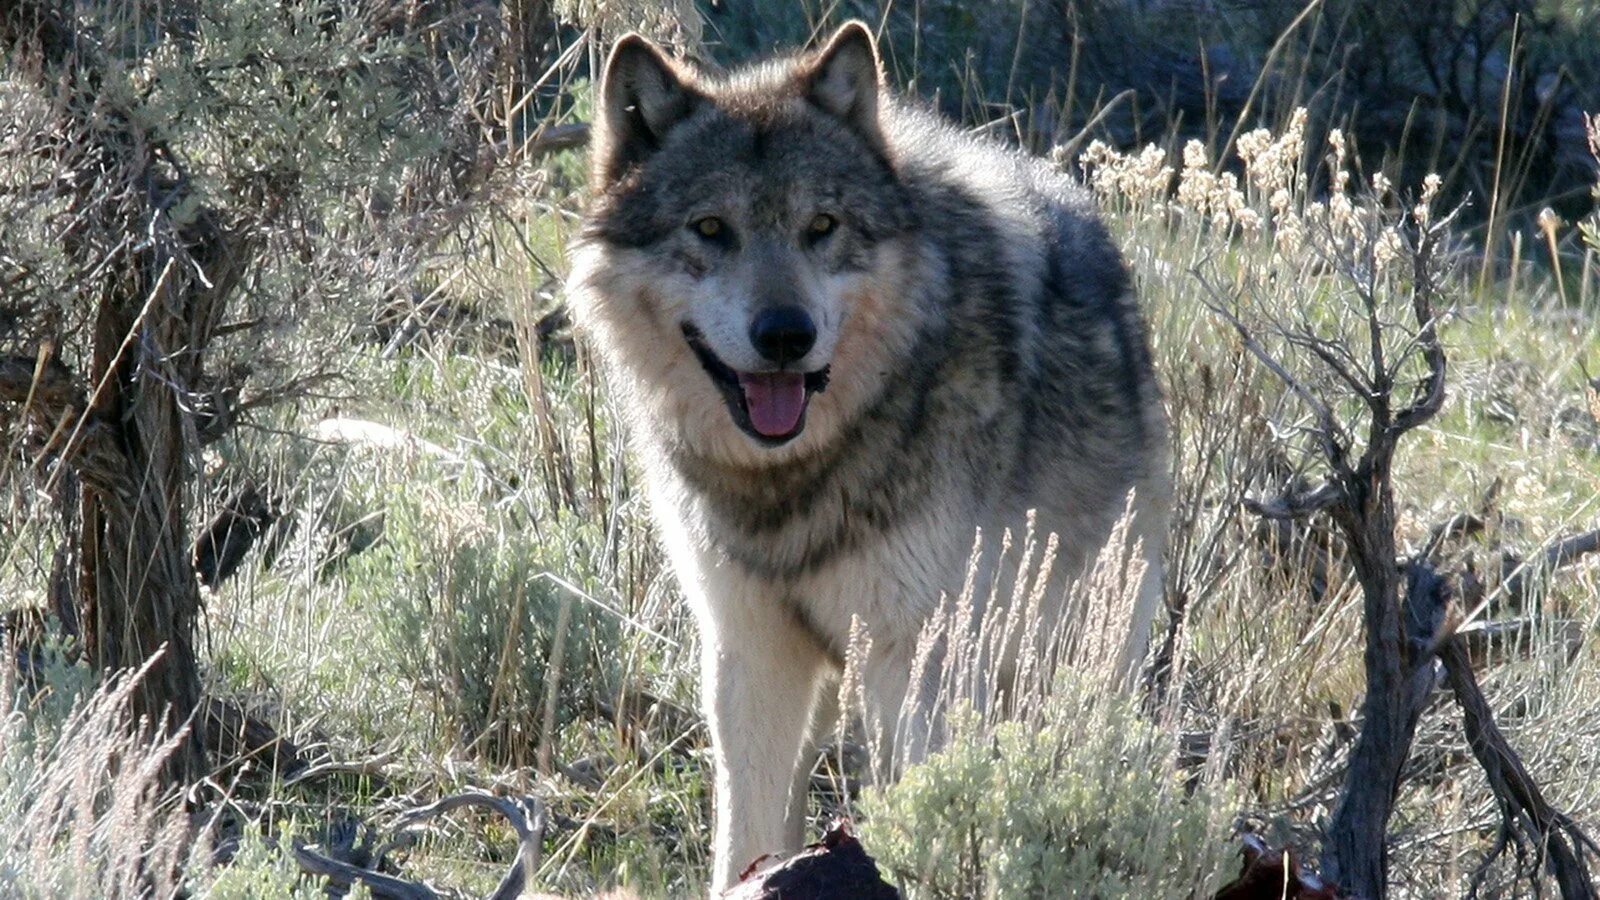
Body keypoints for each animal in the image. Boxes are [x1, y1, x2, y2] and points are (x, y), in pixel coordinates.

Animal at [569, 22, 1171, 890]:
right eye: (711, 229)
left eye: (822, 226)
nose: (785, 335)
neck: (797, 478)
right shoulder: (749, 652)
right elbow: (742, 831)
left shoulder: (912, 663)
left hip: (1064, 663)